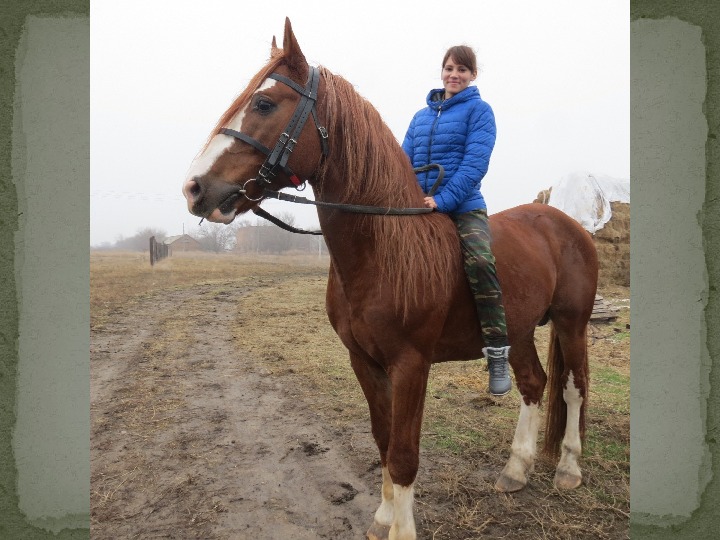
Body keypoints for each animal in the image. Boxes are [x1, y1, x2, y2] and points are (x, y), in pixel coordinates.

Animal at [181, 19, 596, 536]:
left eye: (263, 104)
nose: (194, 188)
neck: (385, 248)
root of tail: (567, 223)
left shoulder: (411, 365)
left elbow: (402, 453)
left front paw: (402, 528)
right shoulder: (364, 360)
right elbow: (381, 438)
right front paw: (382, 516)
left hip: (572, 322)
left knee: (574, 387)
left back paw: (569, 469)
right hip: (516, 328)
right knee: (534, 384)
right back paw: (516, 470)